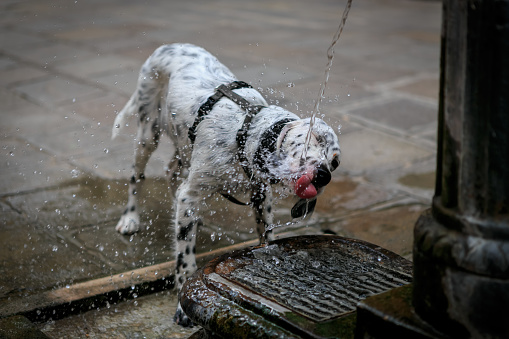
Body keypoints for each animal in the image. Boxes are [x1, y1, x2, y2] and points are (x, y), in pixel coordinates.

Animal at [111, 43, 342, 326]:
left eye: (335, 162)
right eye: (315, 139)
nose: (323, 175)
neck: (243, 133)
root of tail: (169, 46)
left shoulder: (260, 197)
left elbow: (266, 236)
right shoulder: (192, 193)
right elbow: (185, 261)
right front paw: (183, 307)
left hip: (182, 148)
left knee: (172, 173)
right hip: (148, 134)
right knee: (137, 178)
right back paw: (130, 218)